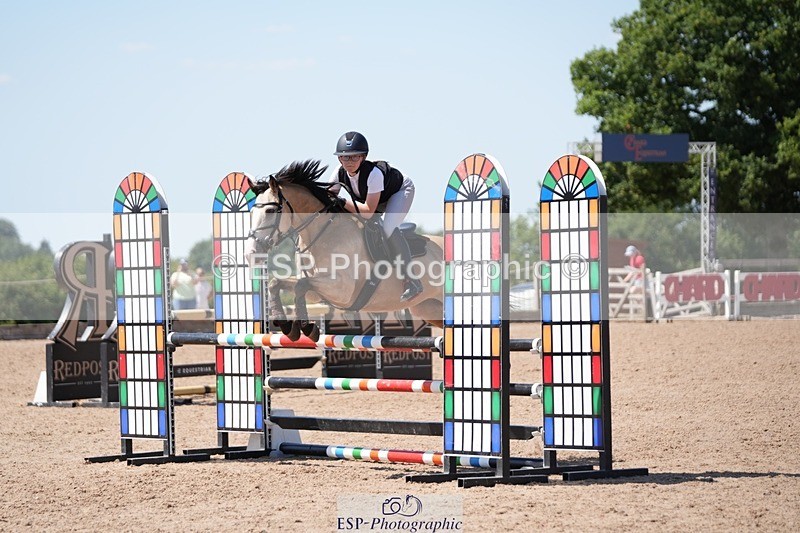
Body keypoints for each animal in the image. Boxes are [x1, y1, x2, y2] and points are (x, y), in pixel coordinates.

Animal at [246, 160, 444, 342]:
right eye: (251, 213)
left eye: (270, 211)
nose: (250, 253)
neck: (322, 233)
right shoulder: (318, 293)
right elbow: (277, 283)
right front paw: (288, 326)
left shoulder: (341, 290)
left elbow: (301, 286)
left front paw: (307, 328)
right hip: (429, 308)